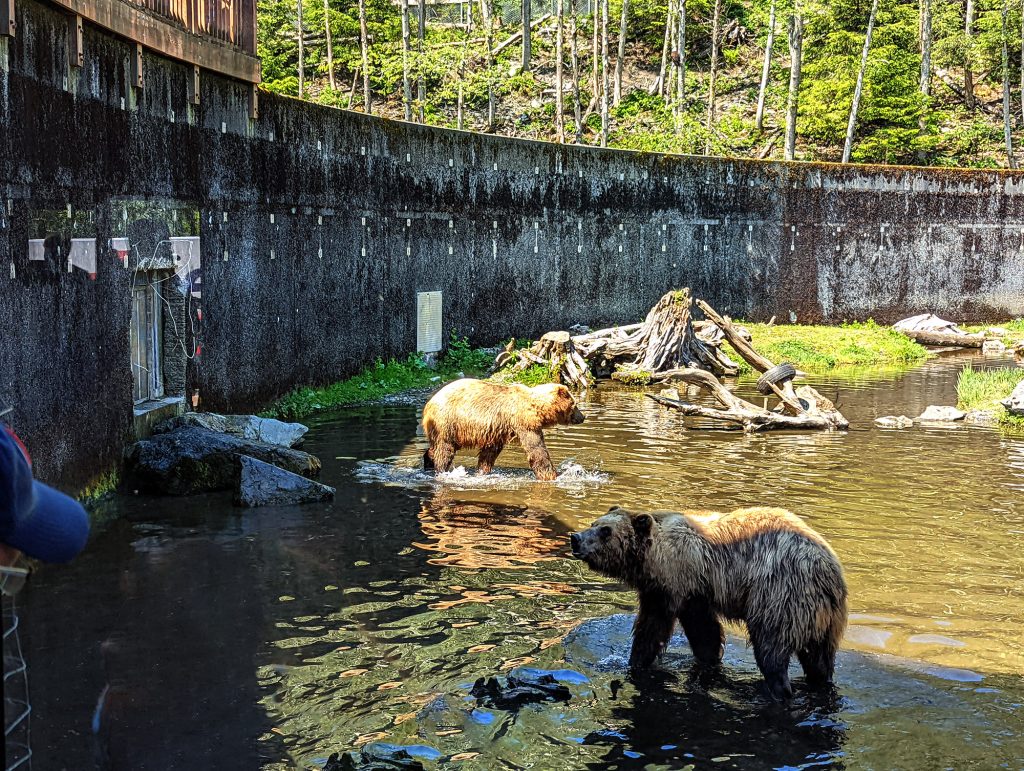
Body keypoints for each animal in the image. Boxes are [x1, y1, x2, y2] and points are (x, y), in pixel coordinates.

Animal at [421, 376, 585, 479]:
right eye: (574, 404)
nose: (582, 417)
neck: (537, 408)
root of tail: (428, 404)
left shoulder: (498, 429)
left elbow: (489, 453)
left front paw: (482, 471)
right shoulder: (524, 422)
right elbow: (536, 450)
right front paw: (553, 475)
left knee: (436, 448)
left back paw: (428, 462)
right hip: (447, 422)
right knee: (444, 450)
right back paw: (441, 470)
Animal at [569, 505, 847, 696]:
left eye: (605, 531)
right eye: (594, 522)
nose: (576, 538)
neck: (655, 559)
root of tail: (828, 571)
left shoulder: (678, 584)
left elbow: (656, 627)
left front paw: (636, 661)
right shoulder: (694, 591)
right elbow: (705, 634)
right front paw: (709, 659)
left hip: (780, 595)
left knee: (772, 648)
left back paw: (778, 688)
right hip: (823, 619)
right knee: (819, 660)